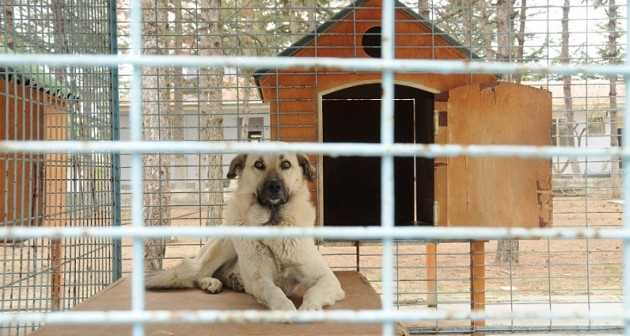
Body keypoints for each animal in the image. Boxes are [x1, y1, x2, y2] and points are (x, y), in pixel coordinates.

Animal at [144, 154, 346, 312]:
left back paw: (232, 280)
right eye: (259, 164)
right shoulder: (260, 280)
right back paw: (211, 283)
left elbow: (313, 291)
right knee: (197, 274)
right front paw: (284, 307)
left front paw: (310, 308)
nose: (274, 187)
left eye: (286, 164)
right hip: (224, 245)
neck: (272, 224)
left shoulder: (327, 278)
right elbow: (274, 291)